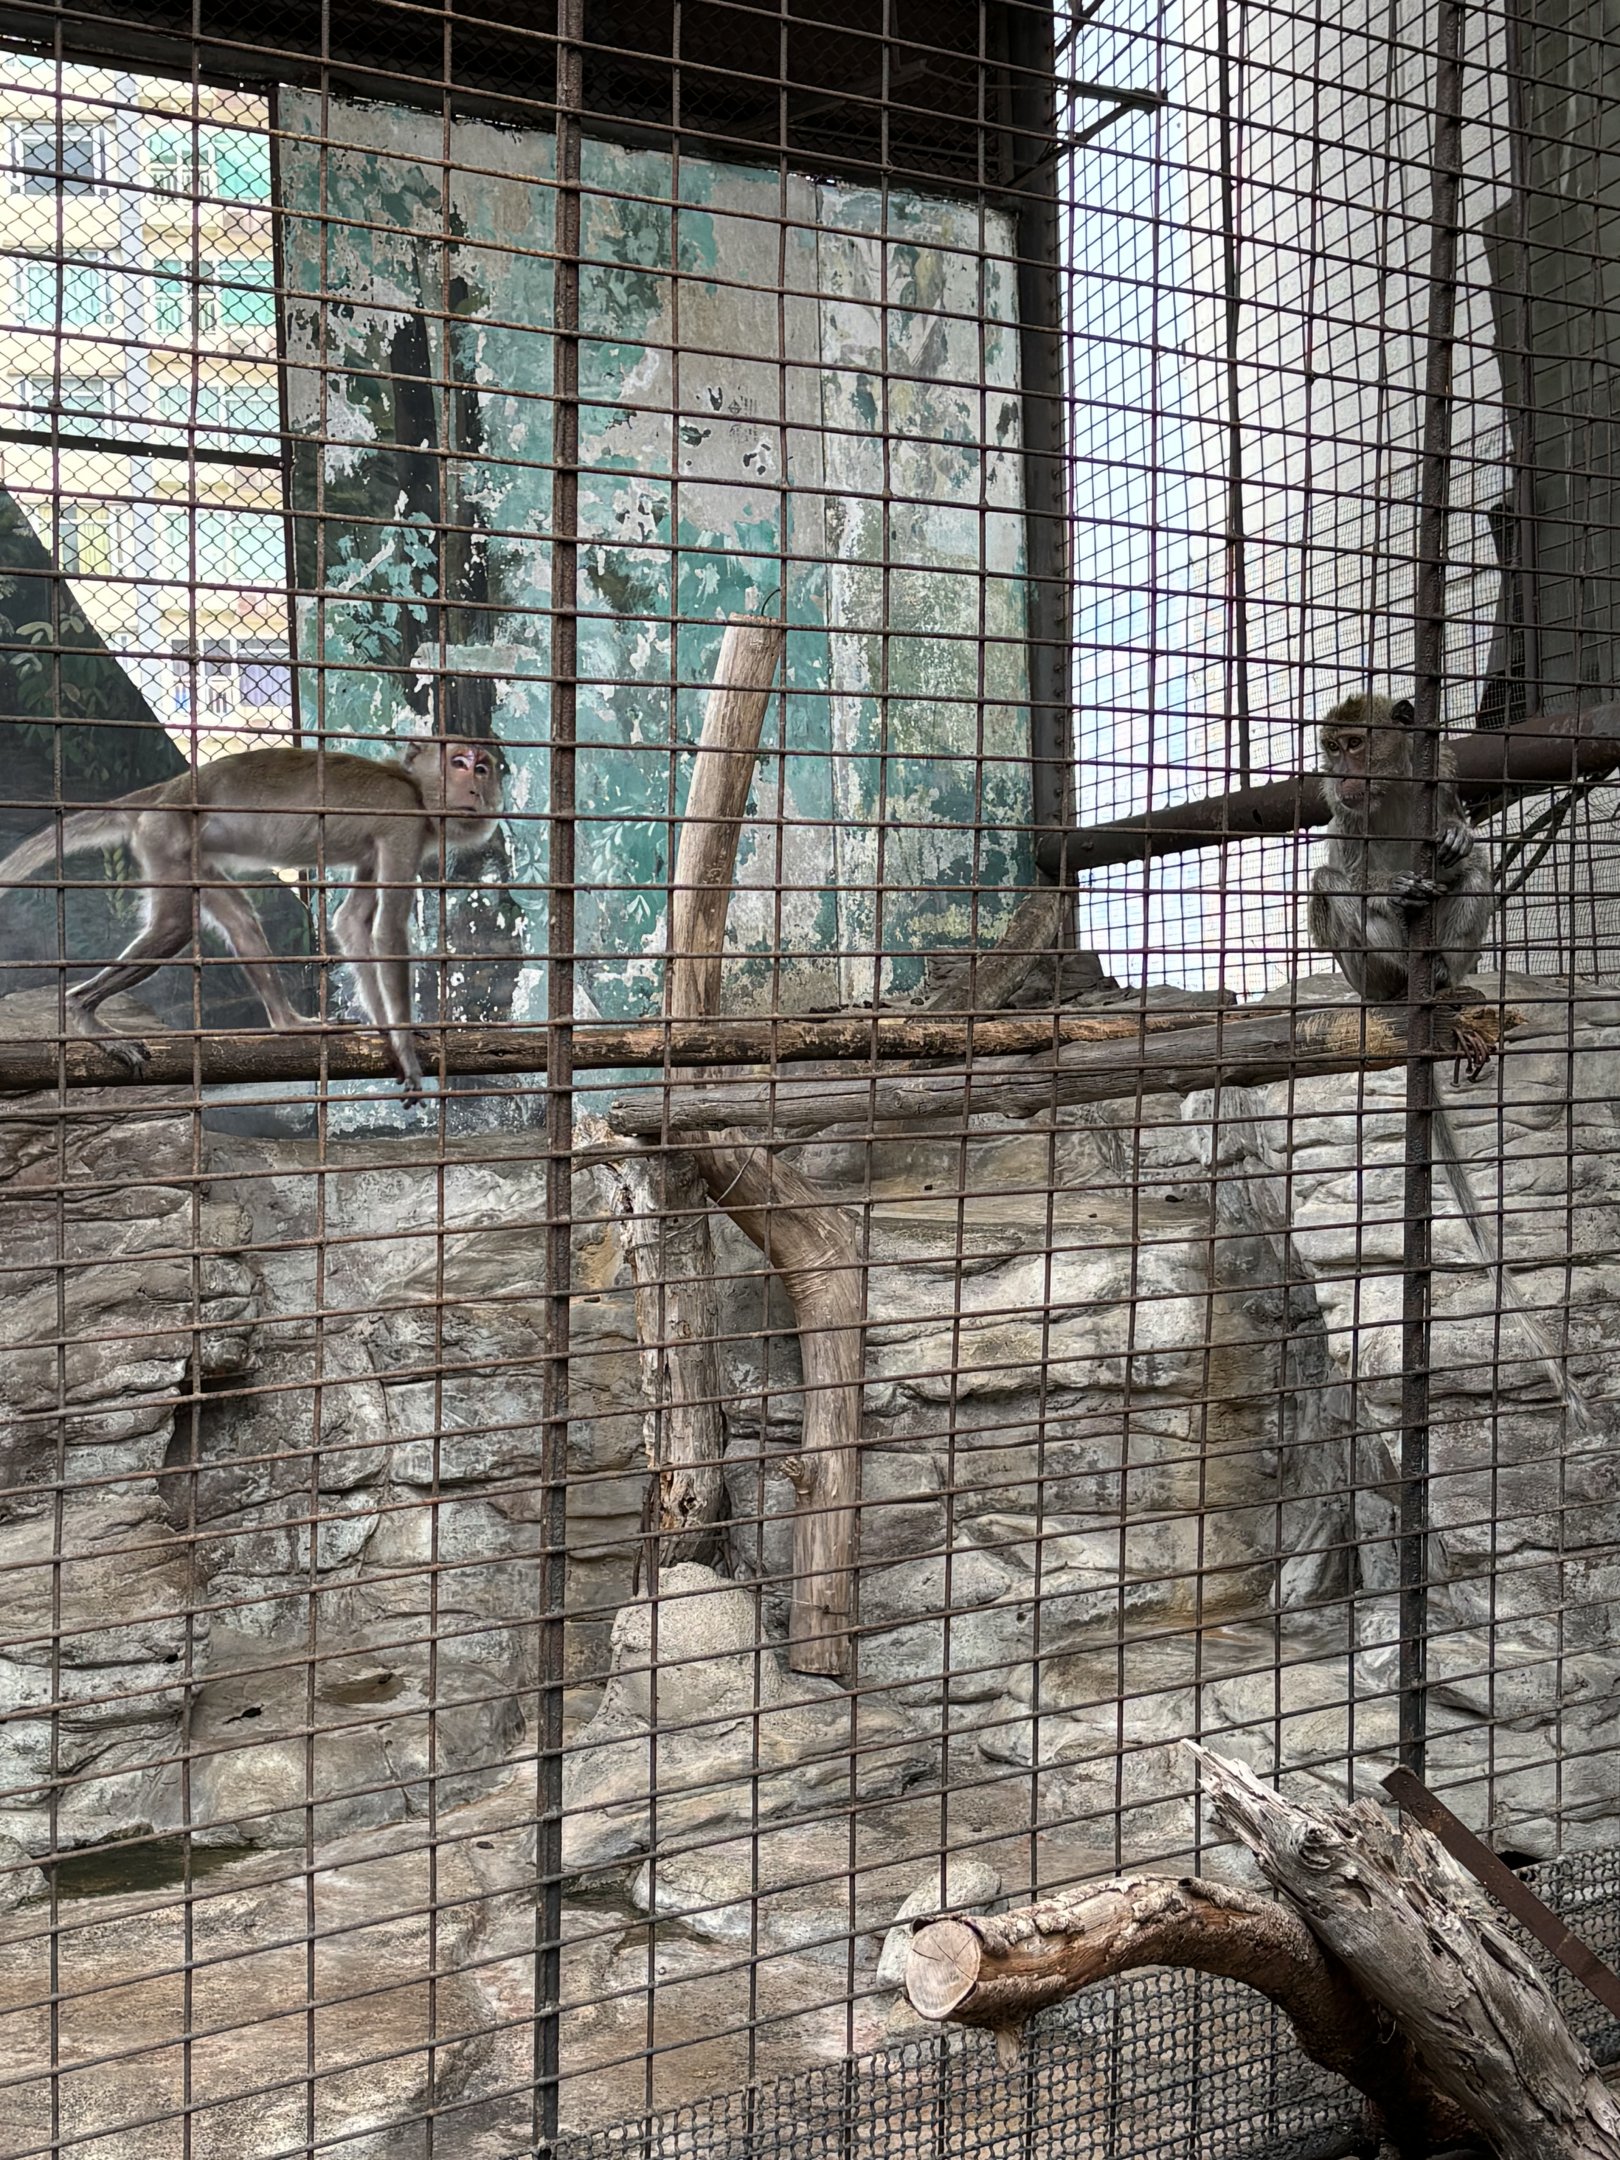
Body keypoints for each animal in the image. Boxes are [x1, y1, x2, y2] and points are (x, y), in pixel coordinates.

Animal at [0, 736, 503, 1104]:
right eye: (459, 763)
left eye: (483, 768)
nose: (476, 789)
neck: (414, 788)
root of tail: (167, 791)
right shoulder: (403, 822)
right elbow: (388, 932)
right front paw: (405, 1048)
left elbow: (353, 923)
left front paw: (389, 1027)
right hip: (167, 837)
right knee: (174, 927)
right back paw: (81, 1009)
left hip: (188, 853)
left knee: (239, 919)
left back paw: (287, 1022)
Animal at [1310, 691, 1591, 1431]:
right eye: (1332, 749)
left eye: (1355, 743)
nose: (1338, 770)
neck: (1391, 793)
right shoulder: (1346, 823)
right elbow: (1348, 874)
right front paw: (1388, 890)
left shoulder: (1441, 775)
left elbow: (1465, 841)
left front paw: (1458, 842)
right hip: (1364, 976)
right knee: (1329, 882)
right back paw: (1406, 977)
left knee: (1474, 871)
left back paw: (1442, 979)